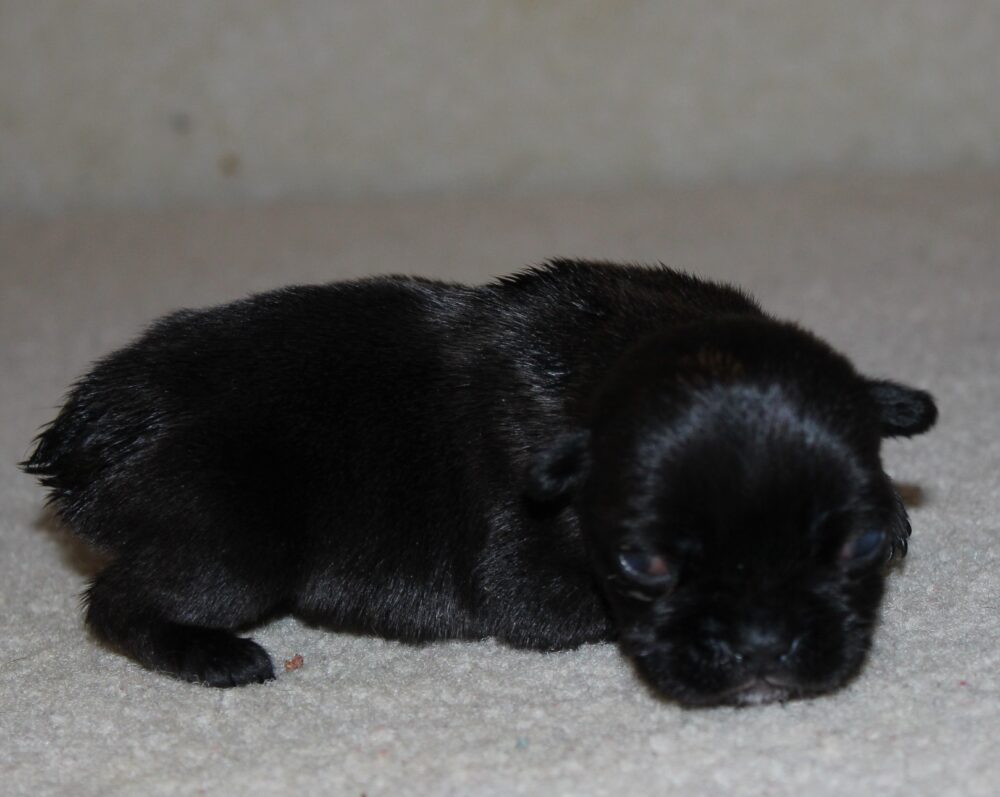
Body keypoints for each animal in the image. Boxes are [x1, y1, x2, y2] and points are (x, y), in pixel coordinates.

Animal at [22, 260, 937, 705]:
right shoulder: (526, 576)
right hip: (236, 548)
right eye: (644, 564)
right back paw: (215, 655)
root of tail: (85, 429)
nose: (762, 650)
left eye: (853, 544)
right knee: (116, 601)